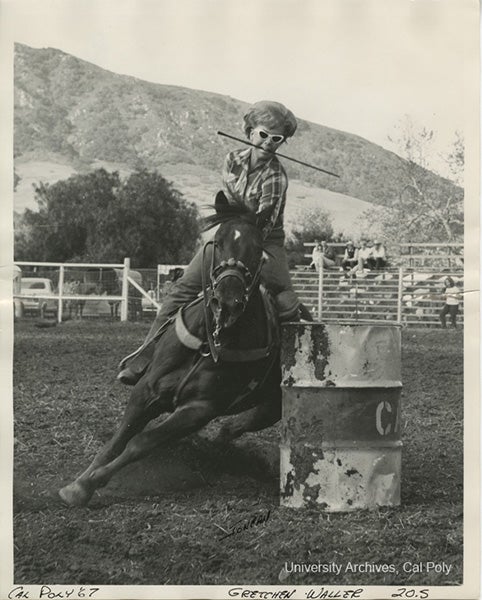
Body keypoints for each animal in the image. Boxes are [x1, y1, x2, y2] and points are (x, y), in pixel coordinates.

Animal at [58, 203, 282, 506]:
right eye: (218, 241)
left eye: (258, 248)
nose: (228, 301)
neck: (210, 341)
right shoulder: (146, 389)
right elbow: (118, 440)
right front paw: (78, 483)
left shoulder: (199, 410)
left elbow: (140, 442)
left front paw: (89, 484)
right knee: (229, 431)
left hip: (272, 408)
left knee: (237, 426)